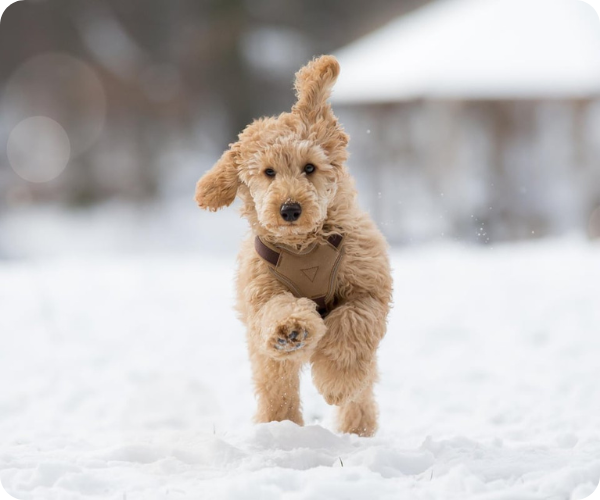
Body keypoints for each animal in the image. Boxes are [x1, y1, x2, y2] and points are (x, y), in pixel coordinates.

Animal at [197, 55, 392, 438]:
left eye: (310, 167)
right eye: (269, 172)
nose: (289, 209)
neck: (304, 247)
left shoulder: (367, 289)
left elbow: (351, 326)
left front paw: (336, 382)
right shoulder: (262, 293)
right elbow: (278, 309)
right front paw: (291, 328)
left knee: (361, 390)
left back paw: (357, 427)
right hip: (264, 355)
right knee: (277, 386)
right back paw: (279, 426)